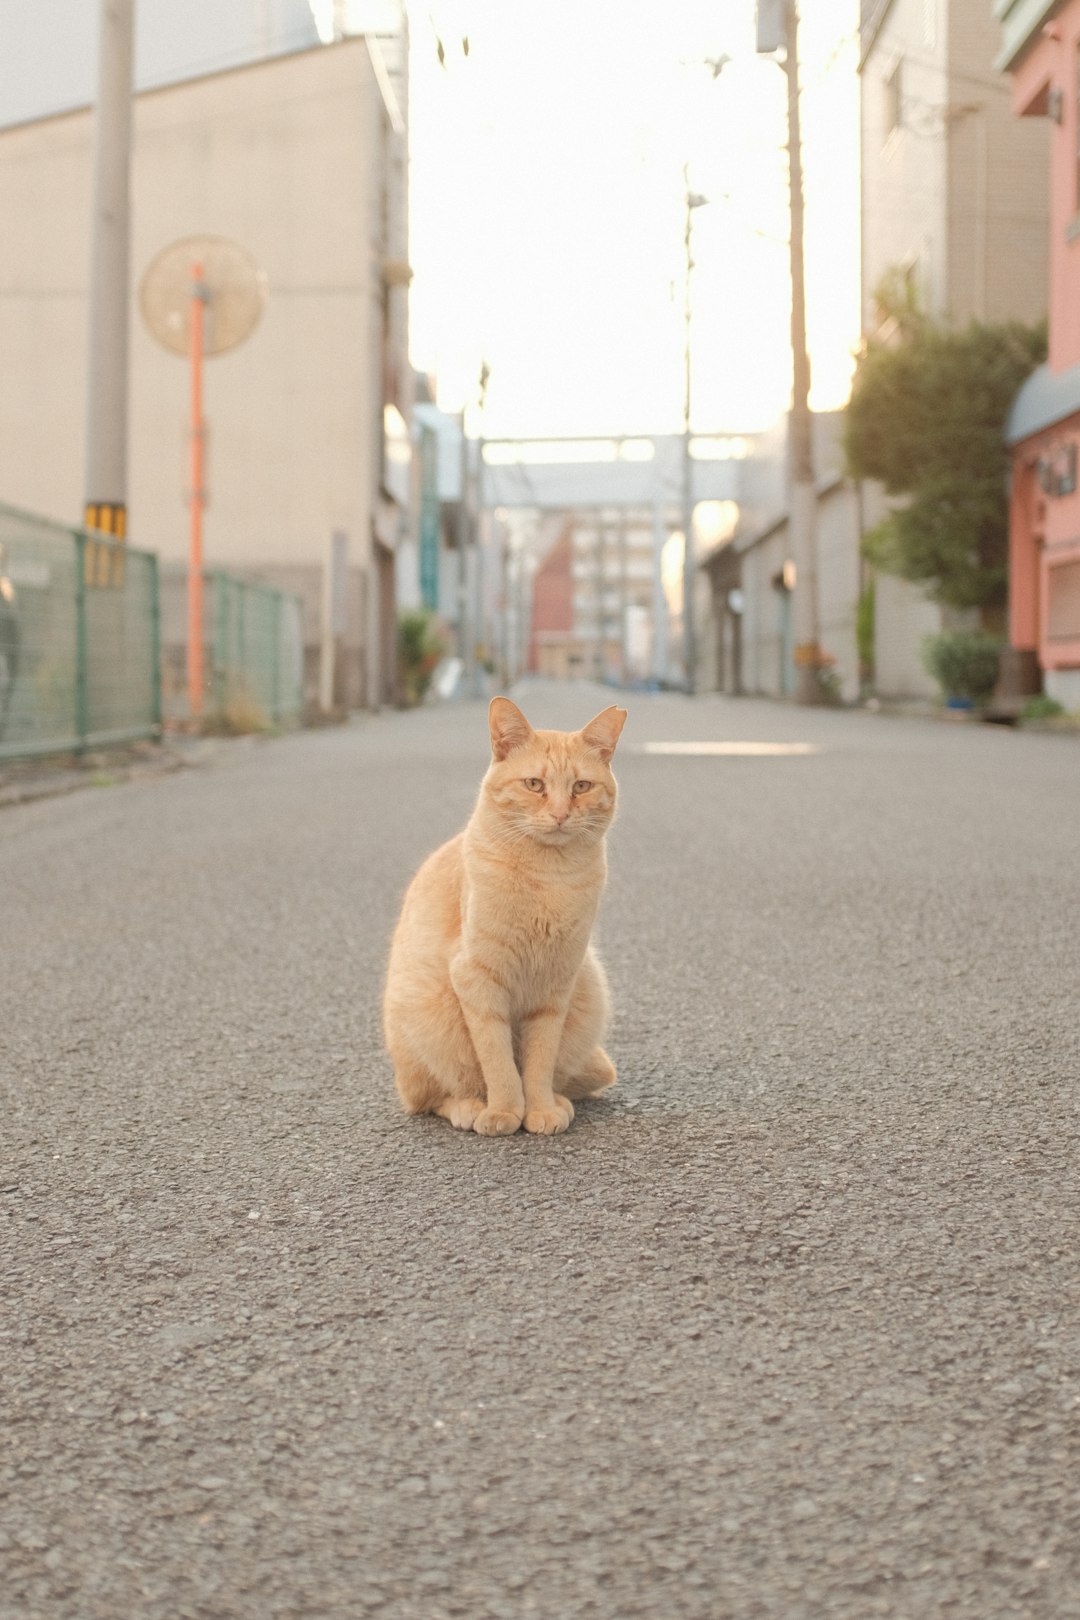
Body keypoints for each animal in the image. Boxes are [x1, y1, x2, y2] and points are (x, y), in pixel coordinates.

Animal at [386, 696, 625, 1140]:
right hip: (429, 1016)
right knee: (429, 1098)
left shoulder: (555, 986)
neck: (548, 879)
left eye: (581, 787)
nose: (561, 814)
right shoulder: (477, 979)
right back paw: (470, 1108)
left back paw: (560, 1101)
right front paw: (504, 1111)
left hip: (589, 988)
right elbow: (497, 1059)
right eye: (534, 785)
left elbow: (539, 1061)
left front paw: (541, 1109)